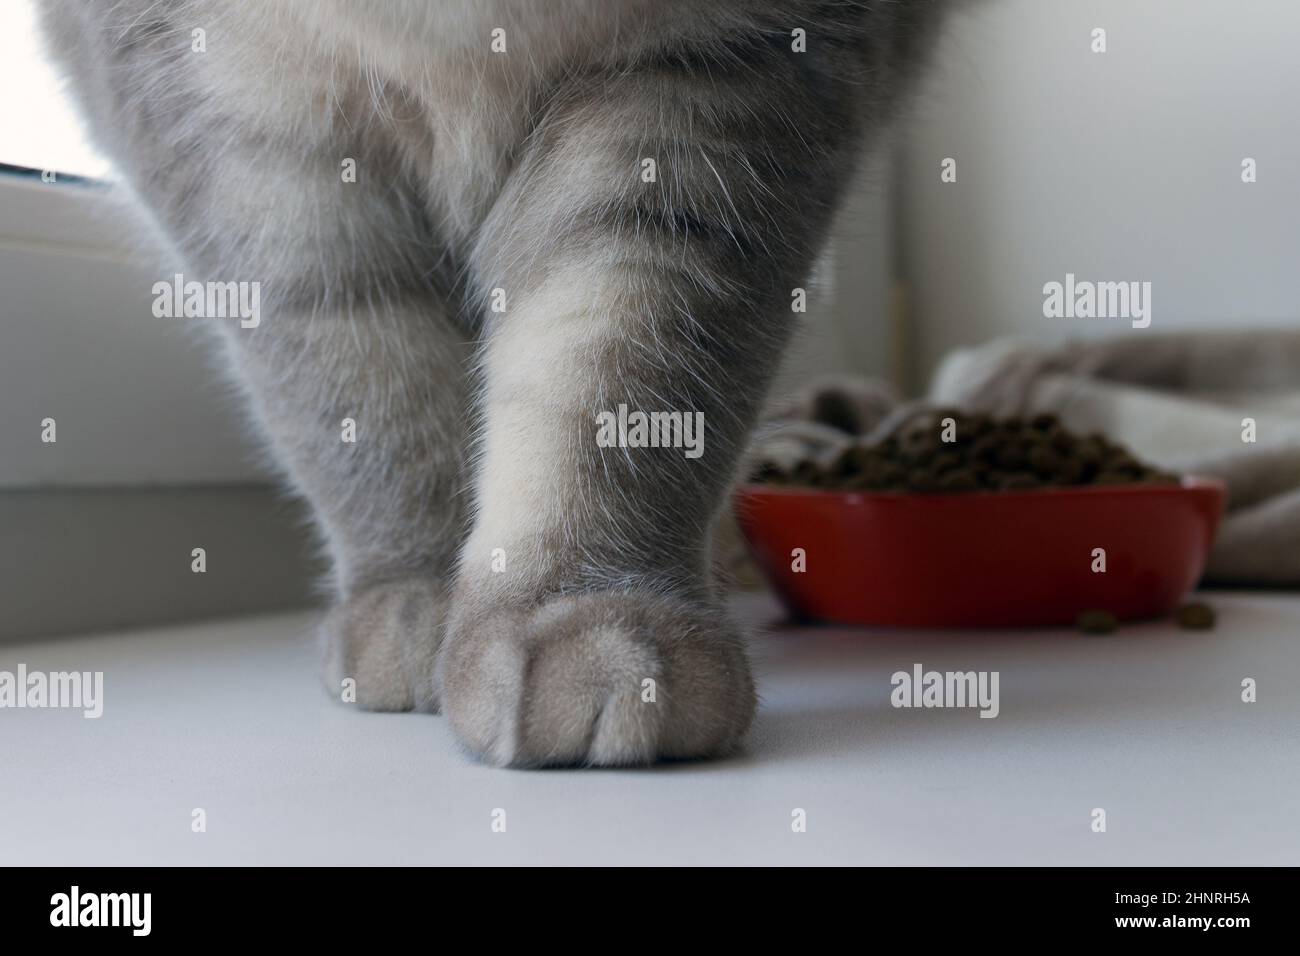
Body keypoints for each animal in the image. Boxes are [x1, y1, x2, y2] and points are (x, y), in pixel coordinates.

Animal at [40, 0, 951, 764]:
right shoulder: (234, 119)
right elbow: (368, 394)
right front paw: (426, 597)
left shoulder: (718, 81)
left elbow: (614, 377)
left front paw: (586, 610)